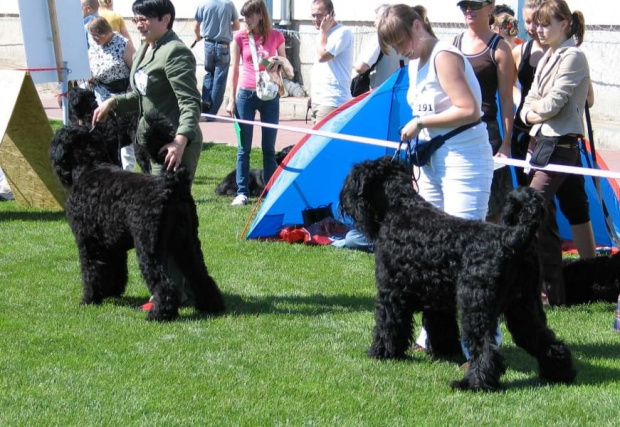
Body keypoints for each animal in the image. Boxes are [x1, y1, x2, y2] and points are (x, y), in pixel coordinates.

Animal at [49, 110, 225, 320]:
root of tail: (173, 184)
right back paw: (211, 306)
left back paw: (158, 314)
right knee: (200, 275)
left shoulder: (88, 242)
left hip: (148, 246)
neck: (89, 167)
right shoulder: (112, 245)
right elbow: (116, 269)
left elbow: (91, 270)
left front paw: (89, 298)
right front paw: (112, 291)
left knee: (164, 283)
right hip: (187, 242)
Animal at [340, 157, 576, 392]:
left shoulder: (391, 292)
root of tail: (513, 238)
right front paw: (444, 351)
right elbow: (441, 326)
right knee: (544, 339)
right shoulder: (436, 299)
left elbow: (388, 324)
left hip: (476, 307)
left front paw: (381, 352)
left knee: (486, 349)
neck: (400, 207)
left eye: (353, 177)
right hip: (524, 306)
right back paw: (559, 373)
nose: (343, 200)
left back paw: (473, 383)